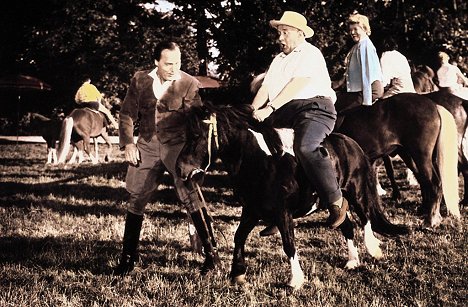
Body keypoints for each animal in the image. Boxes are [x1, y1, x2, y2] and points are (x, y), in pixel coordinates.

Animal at [177, 103, 408, 292]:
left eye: (196, 135)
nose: (180, 169)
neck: (262, 161)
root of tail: (351, 144)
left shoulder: (283, 212)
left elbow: (289, 243)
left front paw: (295, 280)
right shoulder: (251, 210)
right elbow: (239, 236)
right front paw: (237, 274)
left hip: (356, 192)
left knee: (366, 218)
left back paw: (373, 249)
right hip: (336, 202)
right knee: (346, 224)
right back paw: (352, 260)